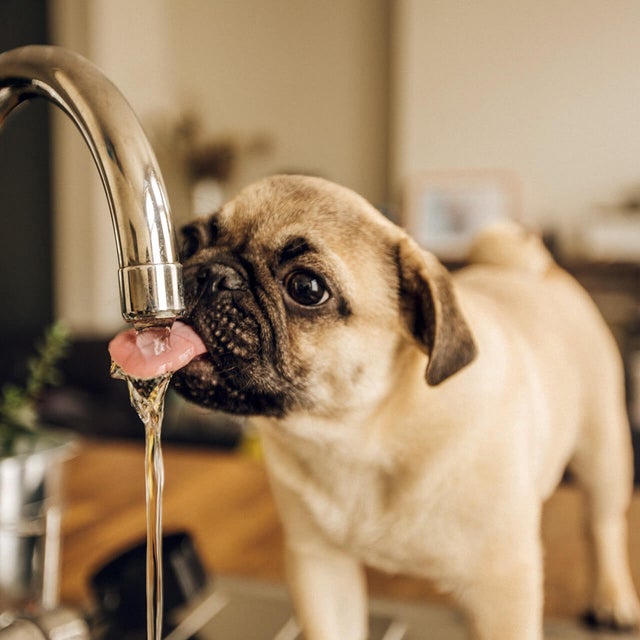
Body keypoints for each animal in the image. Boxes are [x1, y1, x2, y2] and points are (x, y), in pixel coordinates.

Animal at [172, 175, 640, 640]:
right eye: (188, 241)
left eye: (306, 288)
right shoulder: (321, 565)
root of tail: (537, 270)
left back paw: (613, 598)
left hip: (603, 452)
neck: (359, 435)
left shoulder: (504, 581)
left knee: (602, 525)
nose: (210, 272)